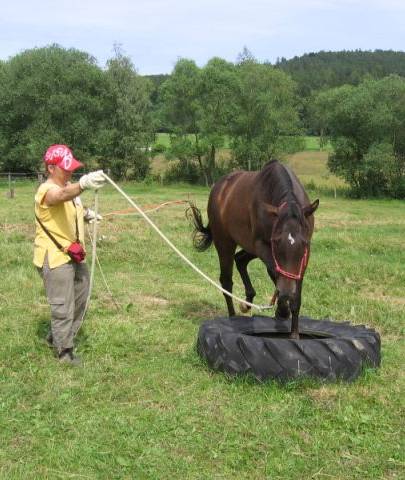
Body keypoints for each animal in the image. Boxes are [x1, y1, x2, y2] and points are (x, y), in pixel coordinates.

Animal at [187, 159, 318, 340]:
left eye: (303, 243)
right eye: (276, 241)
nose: (286, 293)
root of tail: (219, 188)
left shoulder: (304, 255)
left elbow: (296, 291)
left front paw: (294, 333)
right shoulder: (262, 246)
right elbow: (274, 271)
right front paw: (282, 310)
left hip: (248, 247)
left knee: (240, 259)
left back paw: (248, 301)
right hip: (225, 242)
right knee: (226, 280)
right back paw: (233, 317)